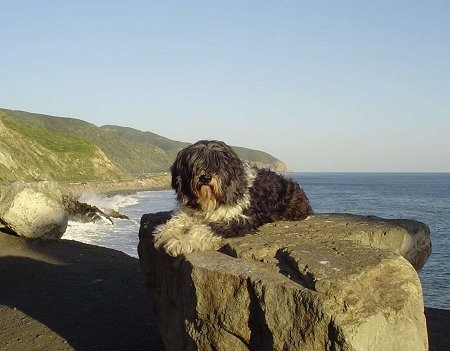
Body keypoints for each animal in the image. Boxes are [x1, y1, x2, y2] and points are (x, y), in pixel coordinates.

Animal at [152, 139, 312, 258]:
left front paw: (180, 241)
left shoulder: (238, 219)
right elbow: (176, 221)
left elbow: (204, 228)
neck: (212, 200)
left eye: (218, 165)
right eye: (195, 164)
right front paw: (164, 233)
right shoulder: (189, 211)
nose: (206, 177)